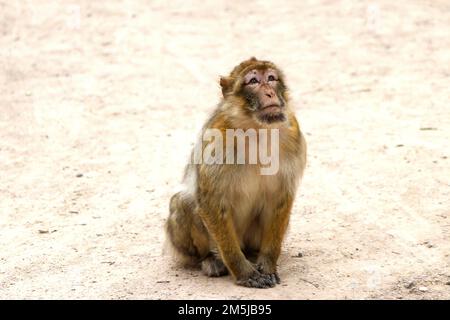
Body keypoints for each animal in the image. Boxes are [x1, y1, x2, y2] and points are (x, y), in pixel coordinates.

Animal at [167, 57, 308, 290]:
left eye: (271, 78)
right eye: (253, 81)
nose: (270, 92)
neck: (256, 128)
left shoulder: (293, 134)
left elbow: (280, 199)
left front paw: (267, 265)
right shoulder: (217, 140)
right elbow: (210, 201)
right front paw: (244, 273)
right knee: (183, 202)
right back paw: (210, 259)